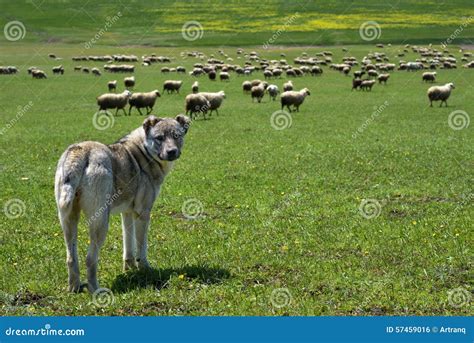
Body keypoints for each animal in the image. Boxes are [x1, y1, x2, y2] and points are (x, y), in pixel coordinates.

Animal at [54, 115, 191, 292]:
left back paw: (74, 288)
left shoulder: (127, 213)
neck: (145, 152)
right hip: (101, 224)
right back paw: (96, 290)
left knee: (71, 259)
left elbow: (128, 246)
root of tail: (81, 151)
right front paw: (145, 269)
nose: (172, 152)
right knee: (90, 259)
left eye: (177, 136)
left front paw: (129, 269)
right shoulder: (143, 213)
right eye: (159, 138)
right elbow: (141, 247)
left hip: (68, 221)